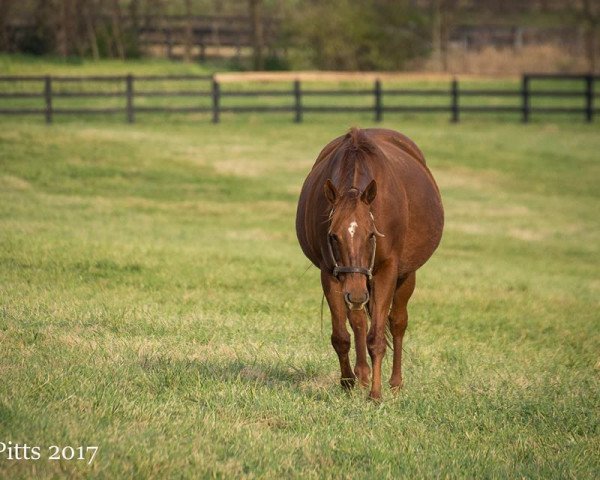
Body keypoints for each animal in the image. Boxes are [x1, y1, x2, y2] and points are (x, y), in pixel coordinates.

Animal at [294, 128, 440, 402]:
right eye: (333, 236)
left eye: (372, 235)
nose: (356, 293)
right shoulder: (331, 273)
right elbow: (342, 336)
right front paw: (348, 382)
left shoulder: (386, 271)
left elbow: (378, 338)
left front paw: (375, 394)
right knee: (359, 321)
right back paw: (362, 375)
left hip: (404, 276)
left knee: (398, 323)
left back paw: (395, 383)